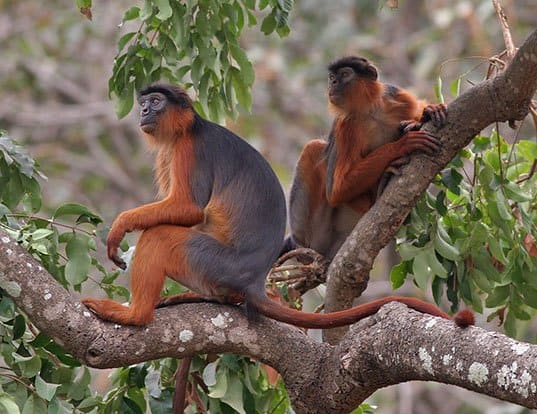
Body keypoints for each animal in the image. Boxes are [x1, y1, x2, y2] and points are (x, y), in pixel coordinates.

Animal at [81, 82, 472, 332]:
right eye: (145, 103)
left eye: (156, 100)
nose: (145, 110)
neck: (185, 129)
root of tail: (253, 279)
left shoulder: (189, 149)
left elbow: (188, 209)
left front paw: (120, 227)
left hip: (212, 262)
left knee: (160, 236)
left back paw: (137, 316)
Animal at [282, 56, 450, 260]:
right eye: (331, 77)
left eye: (344, 74)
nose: (333, 83)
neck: (371, 111)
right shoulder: (346, 125)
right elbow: (337, 190)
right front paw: (403, 144)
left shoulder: (396, 95)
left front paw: (429, 111)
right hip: (316, 235)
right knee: (313, 147)